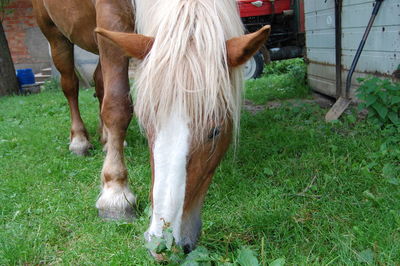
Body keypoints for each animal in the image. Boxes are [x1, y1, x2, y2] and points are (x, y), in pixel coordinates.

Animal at [32, 0, 270, 256]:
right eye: (146, 126)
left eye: (215, 131)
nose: (163, 243)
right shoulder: (110, 16)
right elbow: (117, 104)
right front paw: (115, 193)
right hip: (54, 33)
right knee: (70, 84)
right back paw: (79, 140)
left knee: (99, 81)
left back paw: (107, 139)